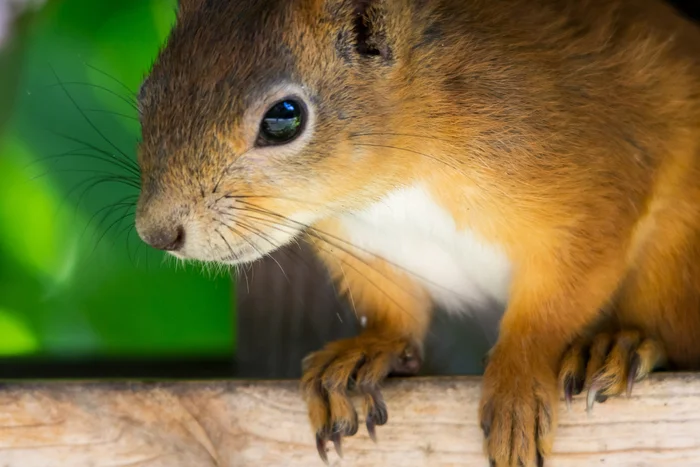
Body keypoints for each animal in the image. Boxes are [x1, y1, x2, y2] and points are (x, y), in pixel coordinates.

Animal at [133, 0, 700, 467]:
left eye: (284, 118)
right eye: (146, 96)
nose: (157, 233)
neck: (394, 185)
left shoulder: (585, 188)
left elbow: (555, 302)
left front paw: (517, 382)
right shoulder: (367, 248)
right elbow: (393, 311)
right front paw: (365, 353)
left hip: (679, 254)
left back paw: (621, 343)